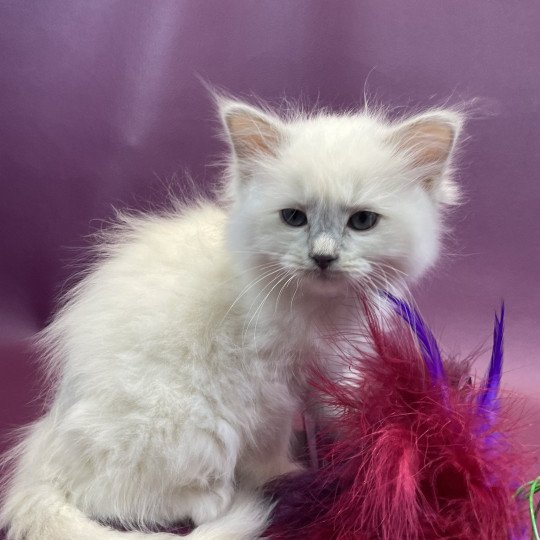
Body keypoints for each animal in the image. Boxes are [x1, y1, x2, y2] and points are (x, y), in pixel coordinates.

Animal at [0, 97, 464, 540]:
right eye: (294, 218)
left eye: (362, 221)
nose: (323, 257)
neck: (318, 308)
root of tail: (45, 447)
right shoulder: (267, 387)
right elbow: (270, 445)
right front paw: (288, 476)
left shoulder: (333, 365)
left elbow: (337, 416)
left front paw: (354, 461)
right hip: (189, 427)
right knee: (114, 498)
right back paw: (220, 498)